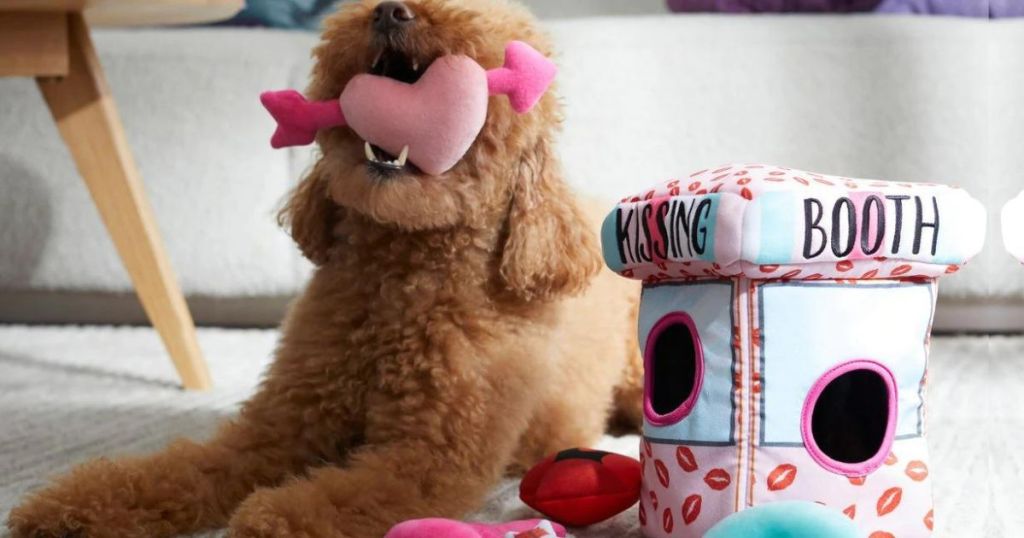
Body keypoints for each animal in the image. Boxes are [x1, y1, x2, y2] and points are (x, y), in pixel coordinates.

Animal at [8, 1, 642, 536]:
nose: (391, 10)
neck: (399, 285)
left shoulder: (427, 457)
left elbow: (337, 498)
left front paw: (266, 520)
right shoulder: (278, 426)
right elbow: (182, 468)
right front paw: (69, 507)